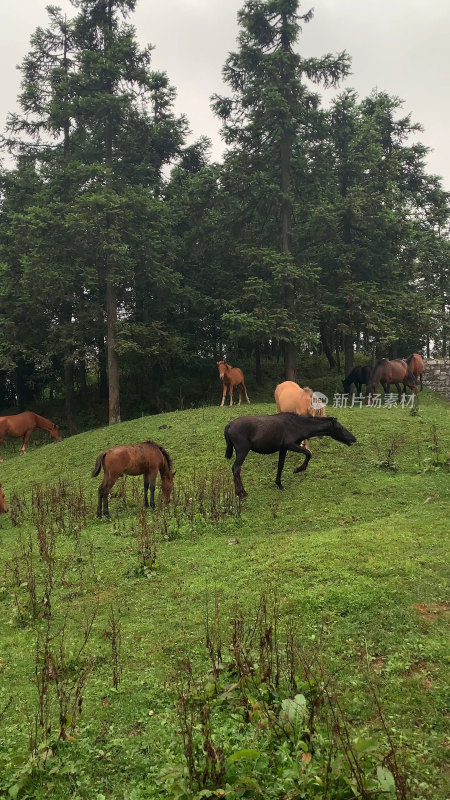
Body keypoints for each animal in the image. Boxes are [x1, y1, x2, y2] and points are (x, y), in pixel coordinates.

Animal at [223, 416, 356, 496]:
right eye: (340, 427)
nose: (353, 439)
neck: (298, 425)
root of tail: (229, 425)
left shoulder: (283, 448)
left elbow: (280, 465)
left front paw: (279, 484)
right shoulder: (290, 444)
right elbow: (308, 453)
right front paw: (298, 469)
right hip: (242, 450)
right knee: (236, 468)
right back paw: (241, 493)